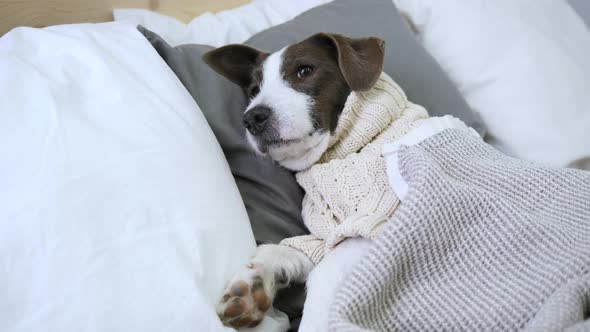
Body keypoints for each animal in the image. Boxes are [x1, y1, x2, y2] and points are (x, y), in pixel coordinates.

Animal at [206, 32, 390, 328]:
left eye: (304, 71)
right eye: (254, 89)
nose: (252, 117)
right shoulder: (328, 237)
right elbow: (285, 252)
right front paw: (251, 286)